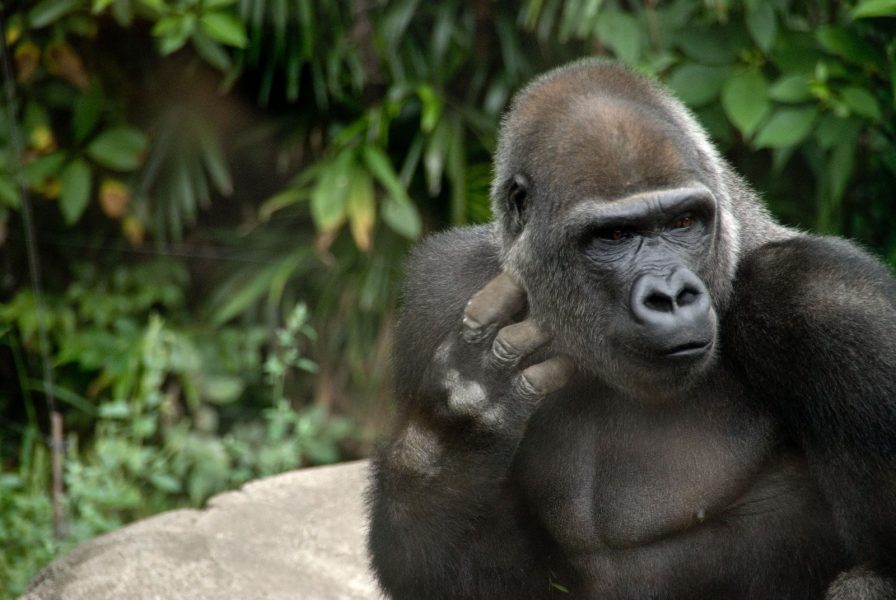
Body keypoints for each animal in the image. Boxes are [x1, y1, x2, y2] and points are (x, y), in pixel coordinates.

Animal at [364, 57, 896, 600]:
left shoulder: (831, 299)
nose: (671, 297)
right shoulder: (440, 290)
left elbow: (880, 566)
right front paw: (452, 431)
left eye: (683, 222)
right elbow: (446, 575)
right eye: (615, 235)